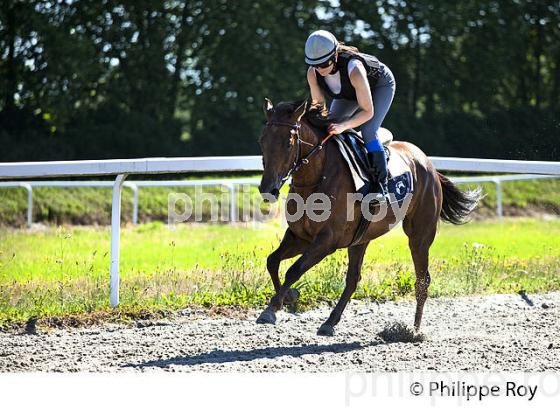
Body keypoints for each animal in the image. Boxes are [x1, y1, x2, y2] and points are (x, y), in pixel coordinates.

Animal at [258, 99, 482, 336]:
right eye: (262, 141)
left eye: (288, 144)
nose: (267, 188)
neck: (318, 178)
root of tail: (428, 164)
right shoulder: (301, 237)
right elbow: (272, 261)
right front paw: (289, 297)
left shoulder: (326, 241)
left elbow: (294, 270)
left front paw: (272, 309)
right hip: (360, 239)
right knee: (353, 279)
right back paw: (330, 322)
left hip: (420, 234)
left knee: (422, 279)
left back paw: (414, 330)